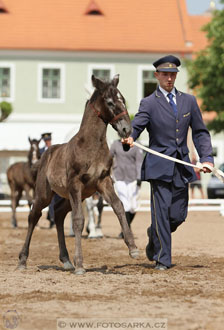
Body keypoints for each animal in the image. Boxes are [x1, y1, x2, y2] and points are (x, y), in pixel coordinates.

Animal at [18, 76, 139, 274]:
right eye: (110, 102)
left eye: (123, 99)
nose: (126, 130)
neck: (90, 145)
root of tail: (47, 153)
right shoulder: (76, 184)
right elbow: (78, 220)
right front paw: (80, 265)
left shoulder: (103, 182)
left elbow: (118, 207)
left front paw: (133, 248)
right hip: (45, 194)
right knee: (33, 216)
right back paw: (22, 260)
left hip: (70, 196)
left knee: (59, 214)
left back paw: (66, 260)